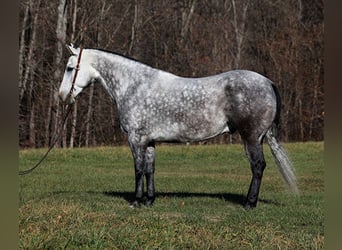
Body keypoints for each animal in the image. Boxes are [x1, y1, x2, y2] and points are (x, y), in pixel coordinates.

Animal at [58, 44, 296, 209]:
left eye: (70, 68)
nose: (62, 96)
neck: (134, 86)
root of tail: (267, 82)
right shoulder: (149, 141)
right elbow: (150, 169)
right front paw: (149, 201)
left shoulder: (135, 139)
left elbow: (138, 169)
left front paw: (136, 201)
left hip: (252, 137)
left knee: (258, 166)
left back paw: (249, 203)